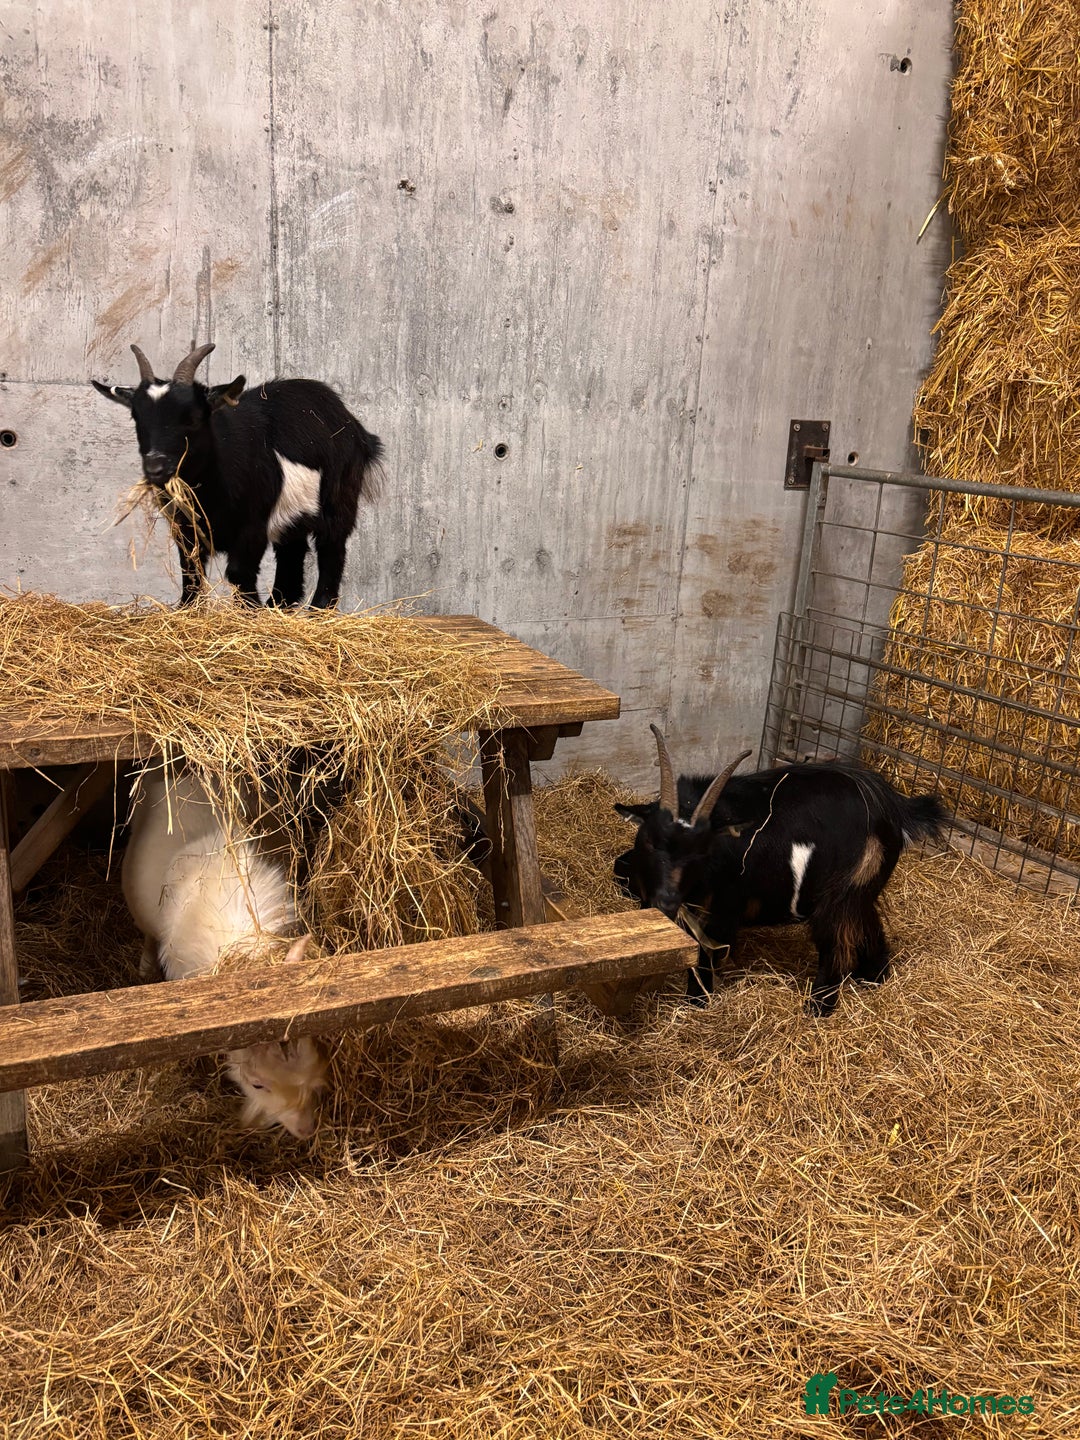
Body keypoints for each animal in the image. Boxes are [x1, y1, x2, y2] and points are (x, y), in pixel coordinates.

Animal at [94, 342, 382, 608]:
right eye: (137, 418)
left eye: (192, 418)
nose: (155, 468)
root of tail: (355, 427)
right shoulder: (185, 527)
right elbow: (191, 570)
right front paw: (187, 609)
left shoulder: (252, 525)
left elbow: (238, 572)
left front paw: (250, 612)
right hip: (292, 514)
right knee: (292, 551)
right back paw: (279, 607)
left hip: (339, 497)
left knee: (332, 547)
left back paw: (318, 609)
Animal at [615, 726, 945, 1015]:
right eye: (650, 840)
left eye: (703, 851)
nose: (667, 901)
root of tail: (891, 806)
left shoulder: (723, 912)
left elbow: (706, 958)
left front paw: (695, 1004)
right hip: (864, 890)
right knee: (869, 926)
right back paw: (873, 978)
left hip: (839, 894)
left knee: (837, 948)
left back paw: (817, 1009)